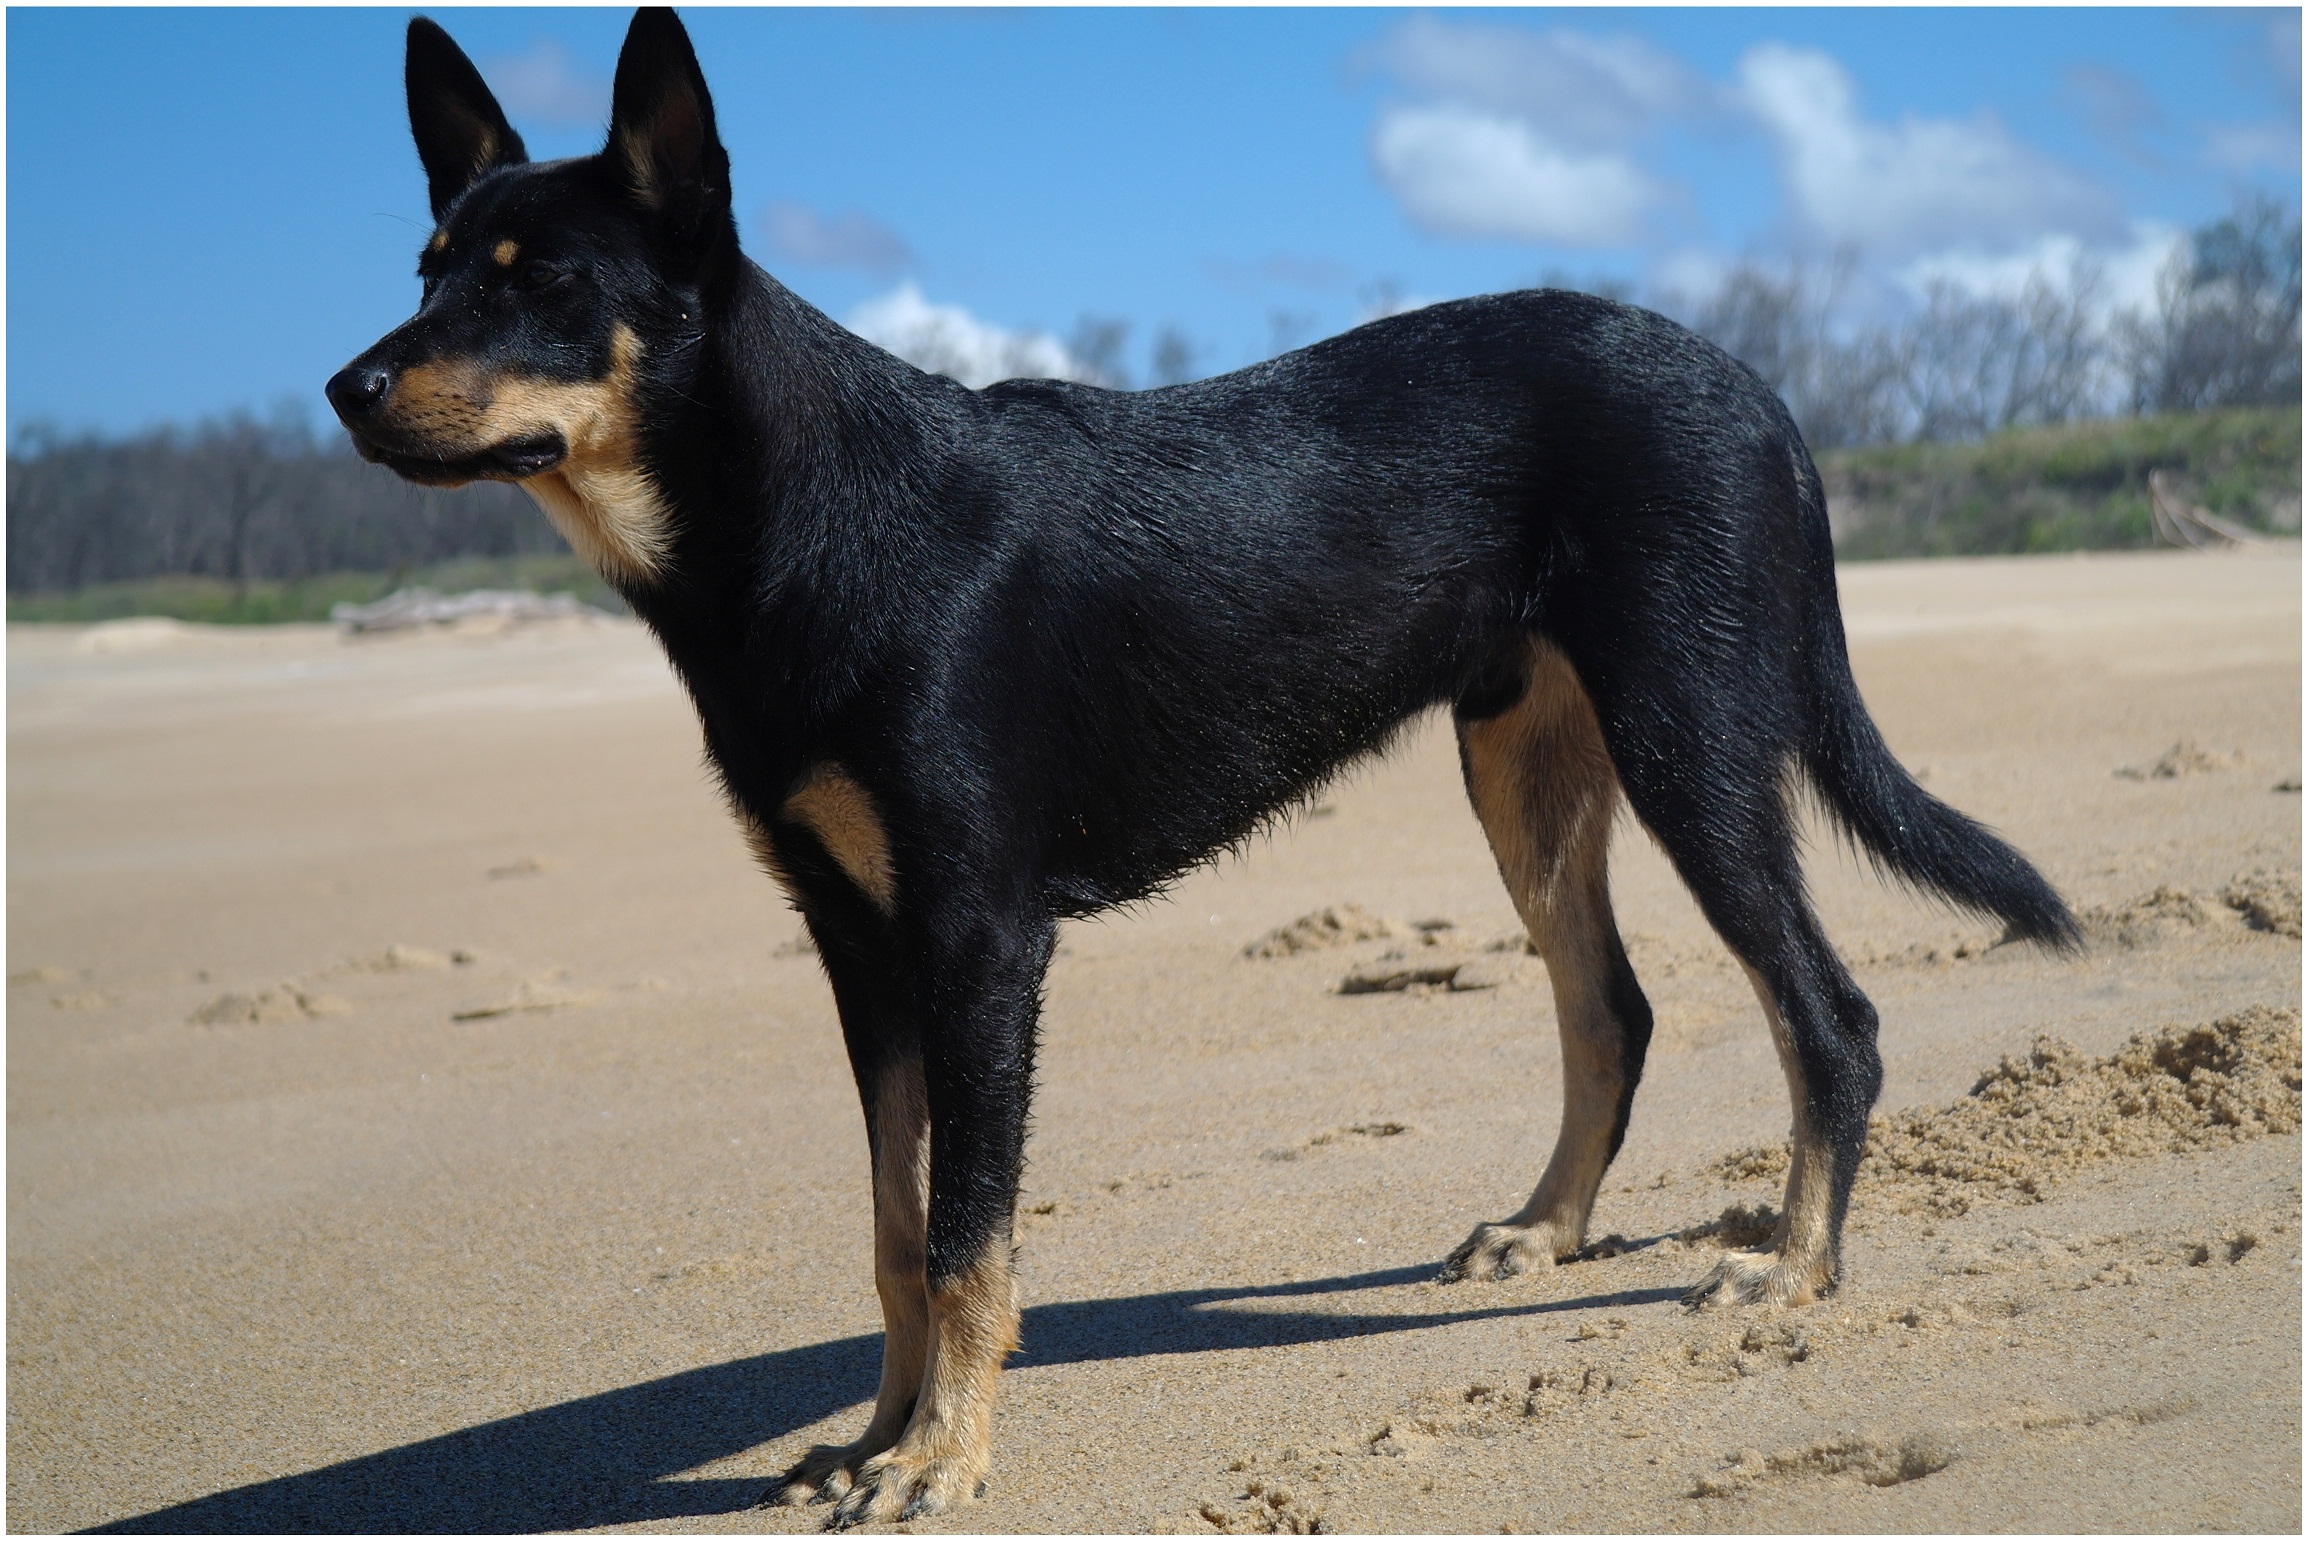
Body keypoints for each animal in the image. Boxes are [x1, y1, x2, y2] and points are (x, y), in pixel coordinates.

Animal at [334, 9, 2087, 1532]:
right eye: (431, 268)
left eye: (546, 280)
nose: (347, 388)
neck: (794, 529)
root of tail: (1759, 390)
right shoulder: (858, 943)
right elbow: (896, 1226)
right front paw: (882, 1434)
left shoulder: (978, 938)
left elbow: (965, 1230)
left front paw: (942, 1458)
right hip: (1527, 764)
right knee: (1615, 1008)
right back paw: (1545, 1230)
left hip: (1692, 743)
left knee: (1827, 1017)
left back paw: (1791, 1269)